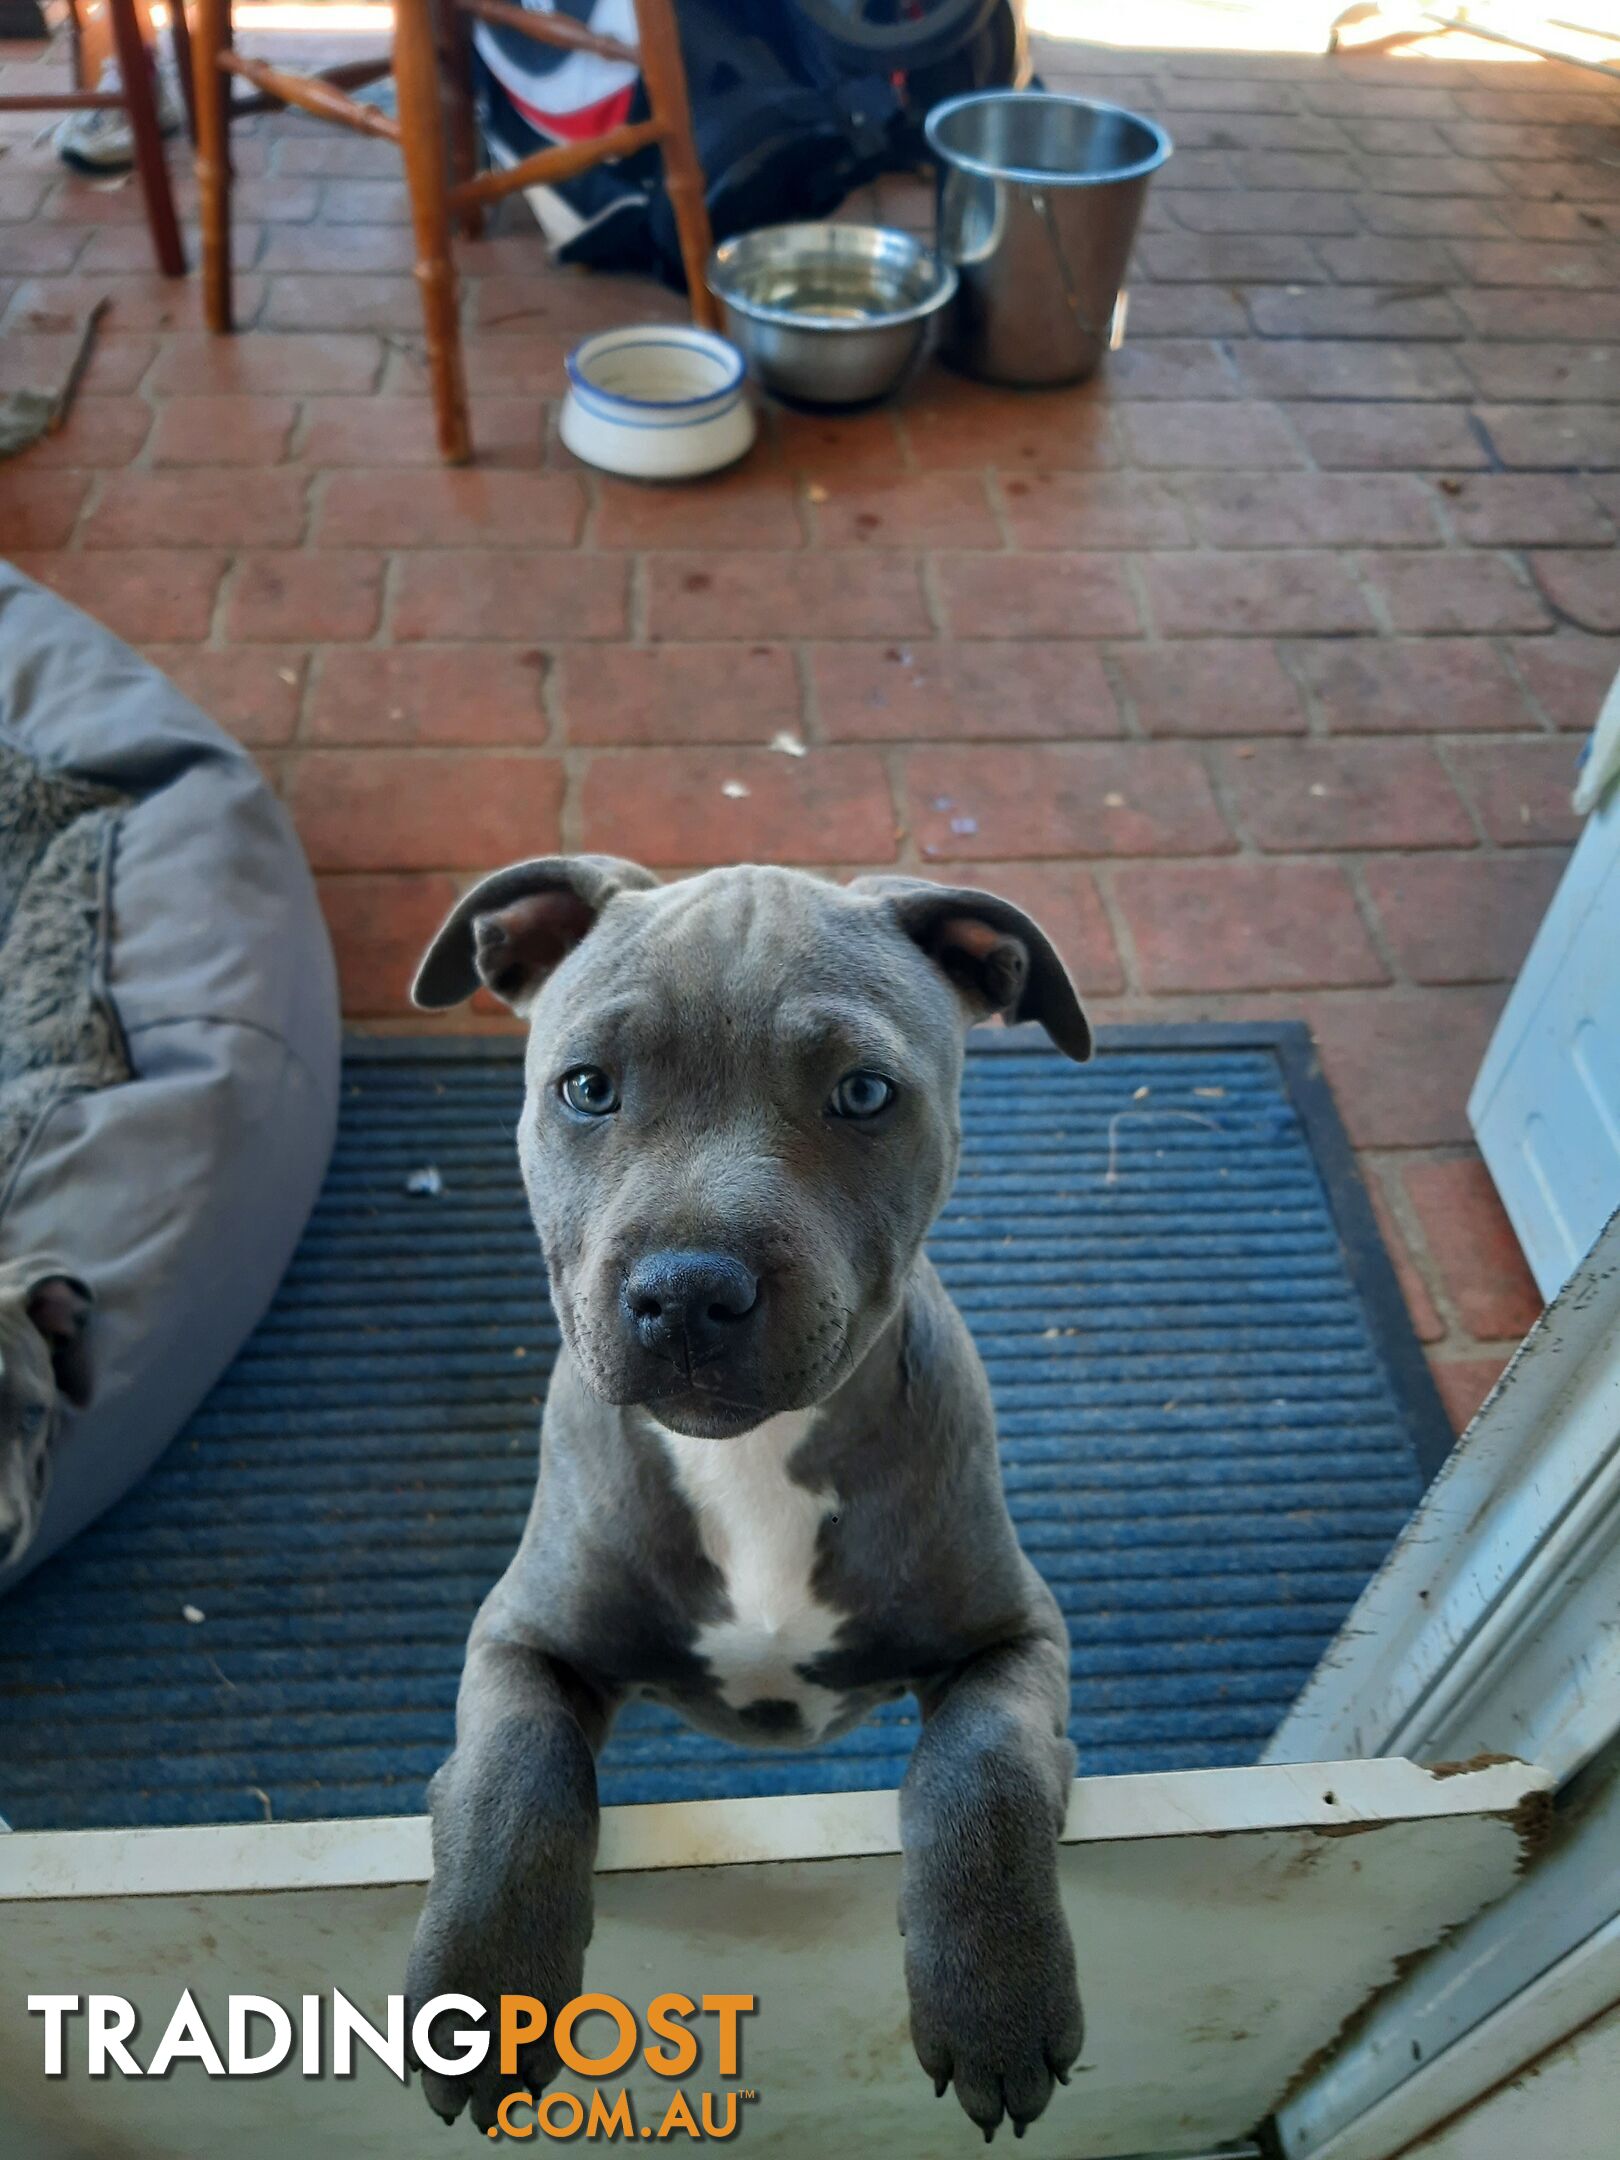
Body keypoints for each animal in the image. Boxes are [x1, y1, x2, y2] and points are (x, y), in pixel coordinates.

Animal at [406, 855, 1097, 2142]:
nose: (686, 1292)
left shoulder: (1014, 1634)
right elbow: (521, 1768)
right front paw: (485, 1991)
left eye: (865, 1093)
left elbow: (981, 1766)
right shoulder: (520, 1637)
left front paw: (996, 1995)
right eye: (586, 1087)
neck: (750, 1460)